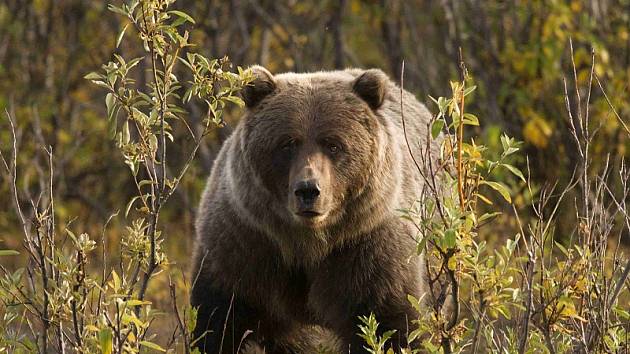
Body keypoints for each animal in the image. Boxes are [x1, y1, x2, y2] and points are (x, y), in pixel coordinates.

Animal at [193, 65, 436, 352]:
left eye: (333, 144)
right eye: (287, 143)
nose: (308, 190)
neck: (308, 244)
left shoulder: (368, 248)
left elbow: (390, 323)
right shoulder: (243, 246)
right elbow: (219, 322)